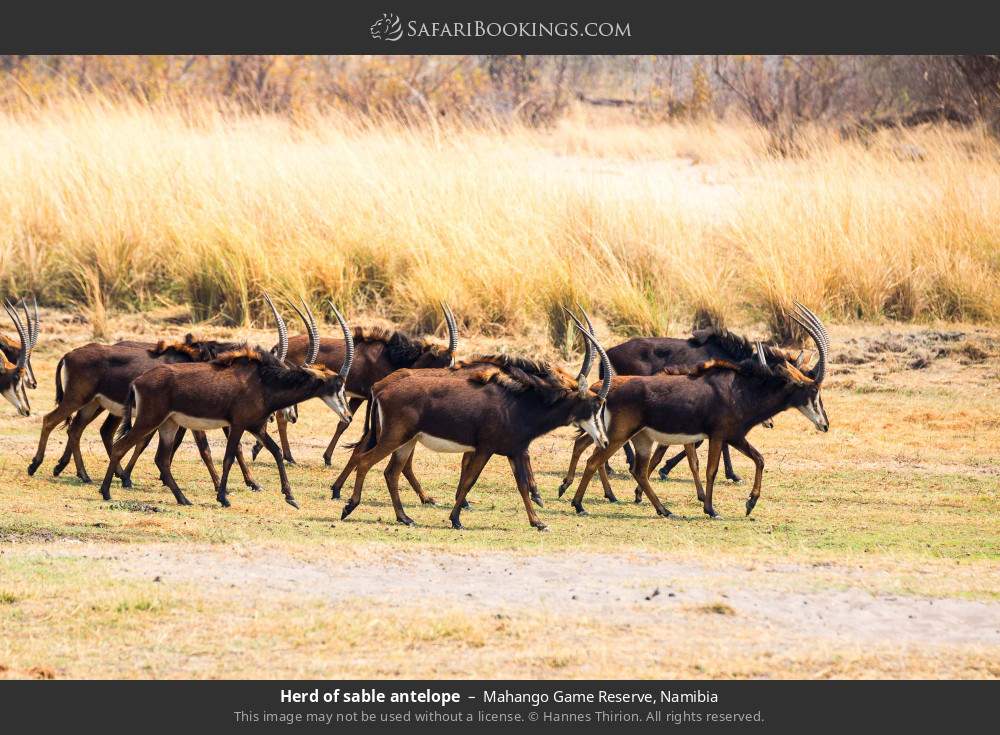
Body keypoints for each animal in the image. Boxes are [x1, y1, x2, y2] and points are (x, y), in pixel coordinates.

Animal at [103, 296, 354, 508]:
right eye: (337, 385)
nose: (348, 416)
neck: (262, 381)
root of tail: (138, 381)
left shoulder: (255, 426)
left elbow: (274, 451)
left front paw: (289, 497)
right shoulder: (238, 425)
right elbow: (229, 457)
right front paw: (223, 497)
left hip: (168, 424)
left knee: (160, 459)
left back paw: (182, 498)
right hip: (149, 420)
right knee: (120, 446)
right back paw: (106, 491)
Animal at [340, 320, 612, 528]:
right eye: (595, 405)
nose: (604, 440)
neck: (519, 403)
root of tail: (381, 387)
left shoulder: (514, 452)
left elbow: (521, 485)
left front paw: (538, 522)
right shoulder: (486, 448)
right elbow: (470, 479)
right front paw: (456, 519)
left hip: (406, 441)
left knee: (391, 472)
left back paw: (404, 517)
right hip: (393, 438)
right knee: (365, 461)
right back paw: (349, 506)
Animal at [568, 304, 832, 516]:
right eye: (813, 388)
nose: (825, 424)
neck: (741, 386)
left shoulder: (733, 435)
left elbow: (758, 459)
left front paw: (749, 502)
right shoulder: (718, 434)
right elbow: (709, 467)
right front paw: (711, 506)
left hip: (637, 436)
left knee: (628, 466)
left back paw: (660, 508)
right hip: (620, 434)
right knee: (595, 459)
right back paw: (581, 502)